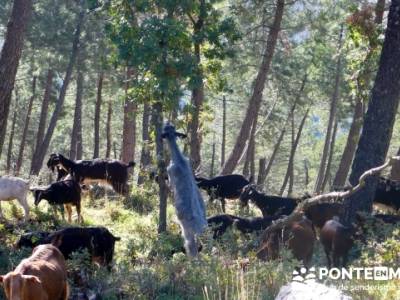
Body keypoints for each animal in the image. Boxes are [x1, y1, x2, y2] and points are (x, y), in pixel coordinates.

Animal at [162, 123, 208, 256]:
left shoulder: (170, 173)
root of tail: (200, 226)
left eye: (165, 129)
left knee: (192, 248)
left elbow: (168, 185)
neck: (179, 159)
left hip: (188, 233)